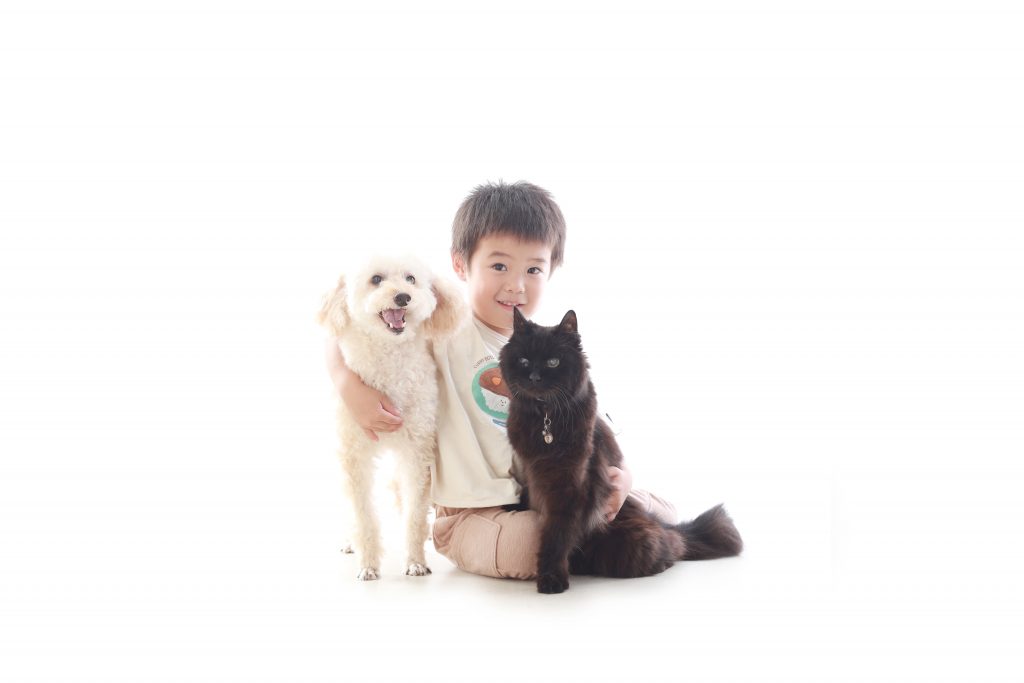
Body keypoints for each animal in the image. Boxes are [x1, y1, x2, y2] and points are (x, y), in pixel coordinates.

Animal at [318, 255, 466, 580]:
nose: (403, 297)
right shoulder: (354, 457)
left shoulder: (417, 451)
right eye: (376, 279)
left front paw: (415, 561)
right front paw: (368, 564)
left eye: (411, 279)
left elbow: (414, 513)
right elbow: (363, 515)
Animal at [499, 307, 743, 594]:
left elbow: (556, 535)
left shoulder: (569, 483)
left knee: (673, 546)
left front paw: (551, 579)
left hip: (633, 544)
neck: (545, 419)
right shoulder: (531, 468)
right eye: (524, 361)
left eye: (553, 362)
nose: (535, 378)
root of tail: (662, 524)